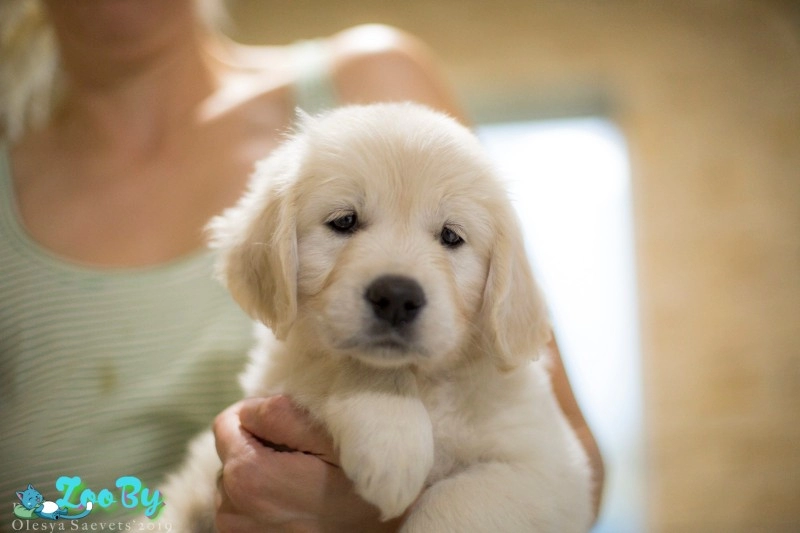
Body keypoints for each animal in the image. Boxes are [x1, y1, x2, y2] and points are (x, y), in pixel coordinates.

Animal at [159, 104, 592, 532]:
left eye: (451, 236)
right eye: (344, 221)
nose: (397, 297)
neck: (426, 382)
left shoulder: (552, 469)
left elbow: (458, 501)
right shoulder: (275, 376)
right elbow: (339, 366)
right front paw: (392, 441)